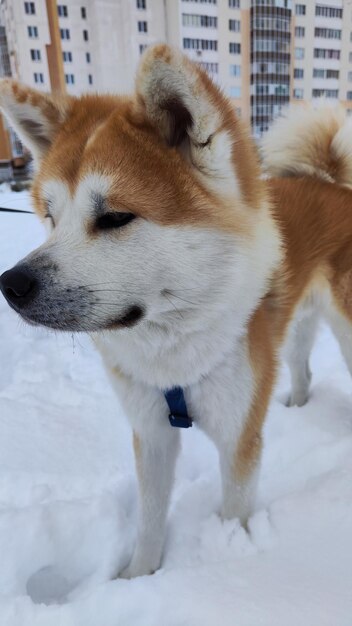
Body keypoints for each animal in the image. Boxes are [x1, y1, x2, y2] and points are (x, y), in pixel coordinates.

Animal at [0, 45, 352, 576]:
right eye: (50, 217)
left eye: (115, 217)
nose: (11, 284)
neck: (175, 358)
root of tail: (332, 184)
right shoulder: (151, 435)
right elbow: (148, 521)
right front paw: (138, 575)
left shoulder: (239, 440)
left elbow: (234, 511)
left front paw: (230, 558)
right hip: (293, 332)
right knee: (302, 368)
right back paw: (295, 404)